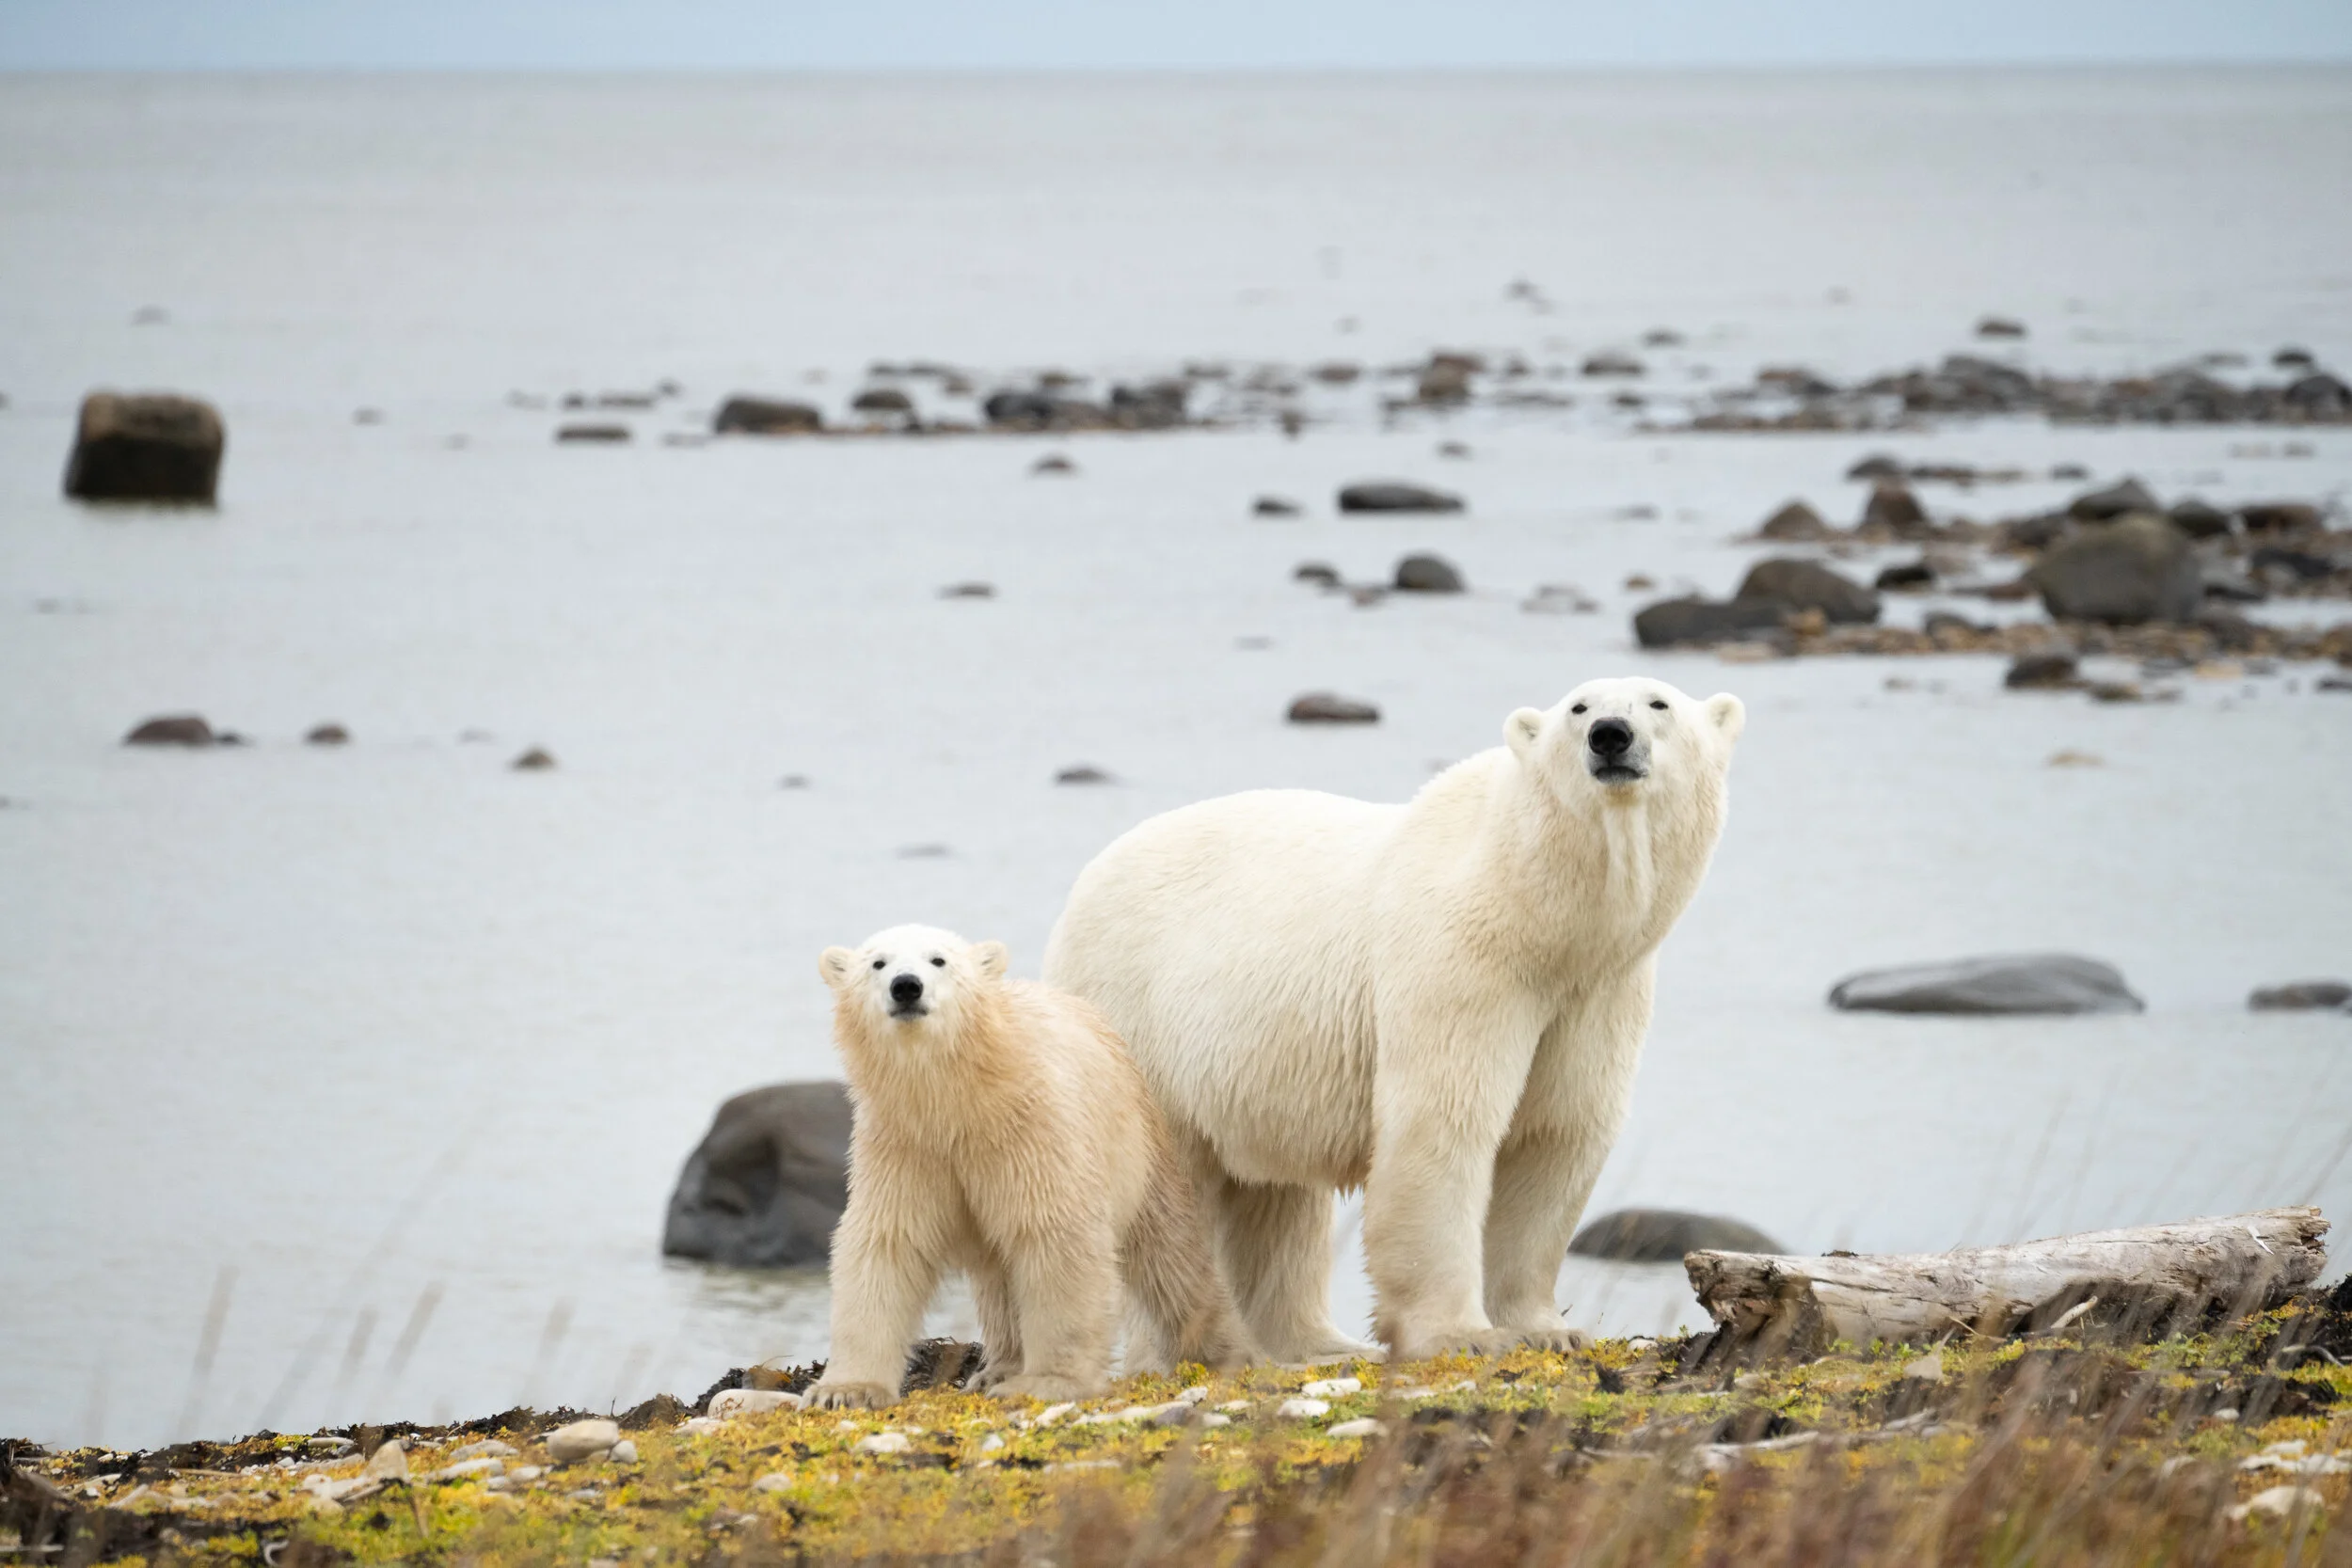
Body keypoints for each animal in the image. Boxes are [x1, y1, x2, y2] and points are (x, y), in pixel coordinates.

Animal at [802, 925, 1251, 1409]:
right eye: (878, 963)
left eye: (938, 960)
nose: (906, 986)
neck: (958, 1100)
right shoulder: (905, 1146)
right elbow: (886, 1244)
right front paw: (845, 1390)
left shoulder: (1029, 1131)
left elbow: (1053, 1233)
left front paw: (1048, 1380)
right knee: (998, 1276)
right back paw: (997, 1367)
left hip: (1138, 1144)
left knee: (1170, 1254)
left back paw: (1221, 1349)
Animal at [1042, 677, 1743, 1362]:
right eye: (1579, 706)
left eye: (1658, 702)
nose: (1610, 735)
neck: (1532, 911)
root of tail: (1083, 885)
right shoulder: (1459, 962)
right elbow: (1444, 1121)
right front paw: (1458, 1333)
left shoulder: (1597, 993)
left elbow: (1555, 1133)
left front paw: (1546, 1328)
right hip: (1134, 1011)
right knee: (1166, 1189)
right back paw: (1199, 1346)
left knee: (1274, 1195)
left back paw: (1314, 1343)